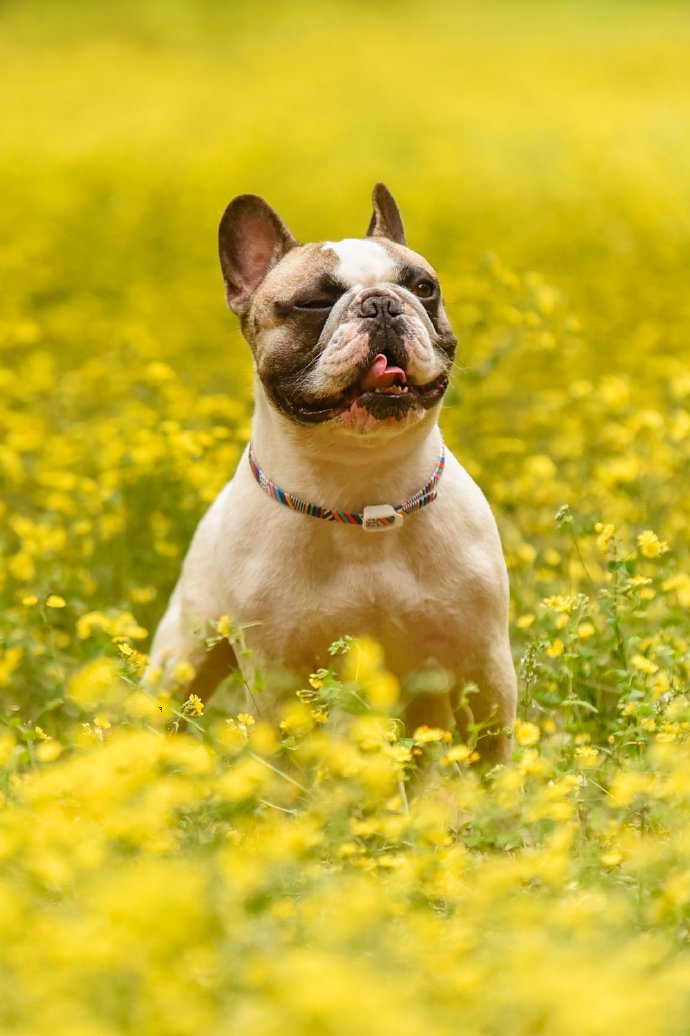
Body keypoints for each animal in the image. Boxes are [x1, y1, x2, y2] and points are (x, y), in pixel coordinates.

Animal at [150, 182, 515, 762]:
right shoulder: (280, 678)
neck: (363, 490)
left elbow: (491, 758)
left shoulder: (483, 667)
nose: (382, 303)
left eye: (424, 287)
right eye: (315, 302)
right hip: (183, 659)